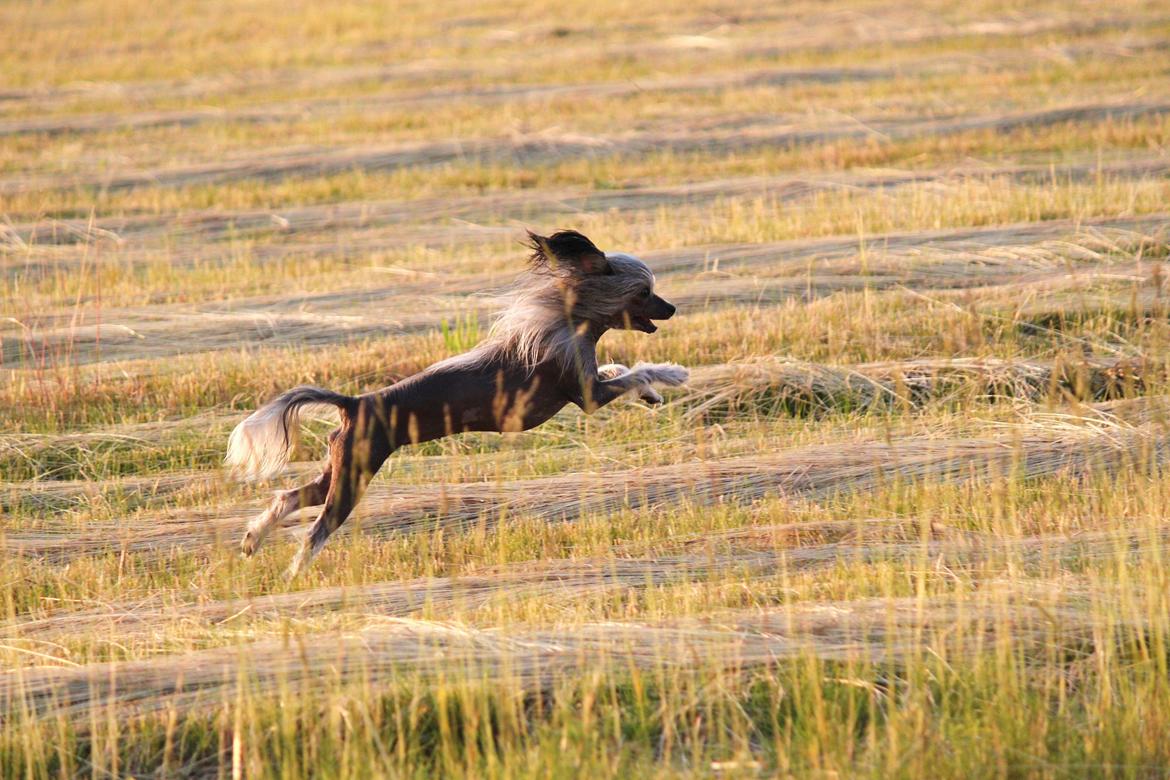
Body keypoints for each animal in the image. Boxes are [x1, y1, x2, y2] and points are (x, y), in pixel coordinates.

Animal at [225, 229, 683, 577]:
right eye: (644, 292)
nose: (674, 308)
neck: (568, 318)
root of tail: (354, 403)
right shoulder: (587, 395)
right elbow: (634, 371)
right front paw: (673, 373)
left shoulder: (589, 381)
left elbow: (618, 367)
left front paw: (652, 393)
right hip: (353, 479)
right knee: (315, 530)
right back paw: (295, 573)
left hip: (339, 468)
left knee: (289, 497)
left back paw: (252, 540)